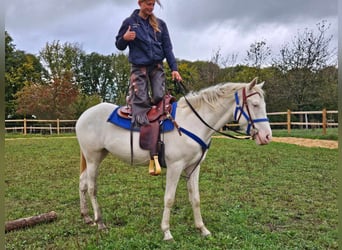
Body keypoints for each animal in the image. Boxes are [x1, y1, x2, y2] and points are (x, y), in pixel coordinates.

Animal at [76, 77, 272, 240]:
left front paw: (202, 229)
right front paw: (166, 232)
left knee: (83, 183)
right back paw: (100, 222)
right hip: (93, 158)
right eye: (255, 105)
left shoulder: (194, 167)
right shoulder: (175, 166)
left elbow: (195, 198)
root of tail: (84, 115)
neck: (193, 122)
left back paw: (86, 217)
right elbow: (169, 199)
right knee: (92, 187)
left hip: (97, 156)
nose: (267, 137)